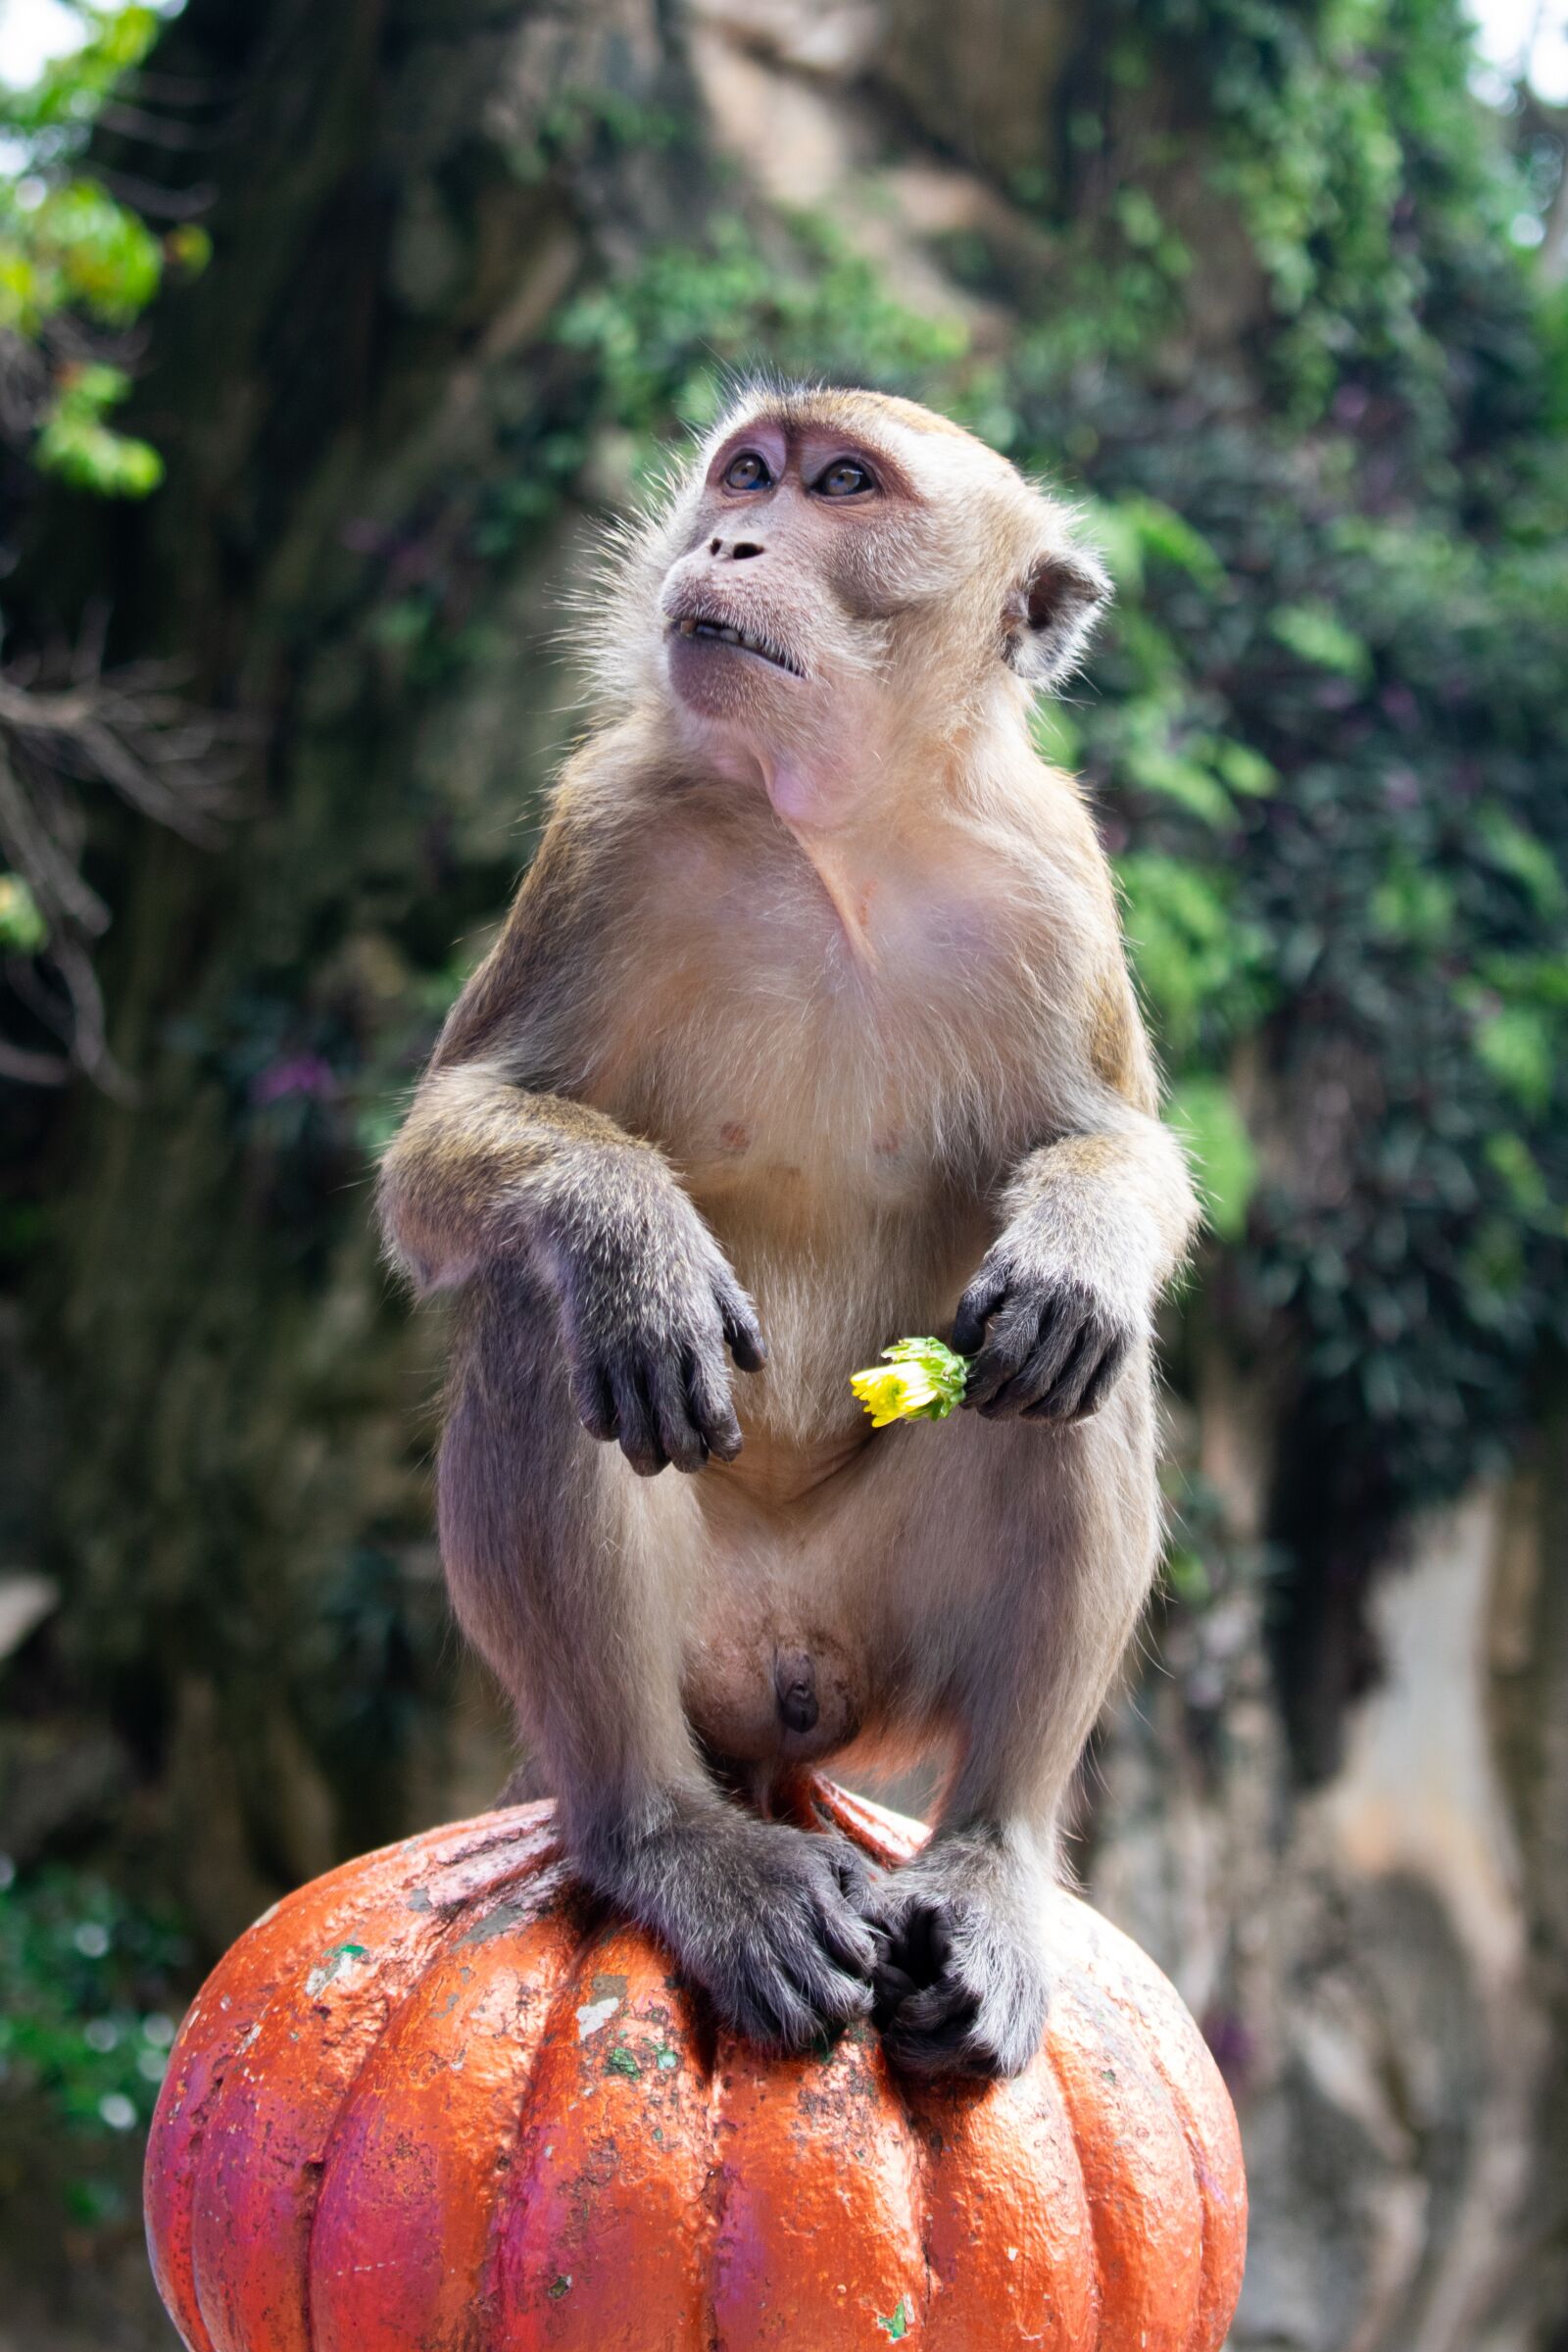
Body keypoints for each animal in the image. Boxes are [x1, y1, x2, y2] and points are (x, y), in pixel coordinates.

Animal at [378, 384, 1199, 2079]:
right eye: (747, 473)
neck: (842, 838)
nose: (734, 541)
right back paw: (670, 1844)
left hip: (888, 1646)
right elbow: (439, 1168)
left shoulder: (1056, 872)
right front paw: (629, 1235)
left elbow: (1116, 1146)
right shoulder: (608, 829)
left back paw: (992, 1862)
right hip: (694, 1649)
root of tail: (784, 1701)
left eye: (844, 487)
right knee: (544, 1321)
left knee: (1077, 1370)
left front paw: (1081, 1235)